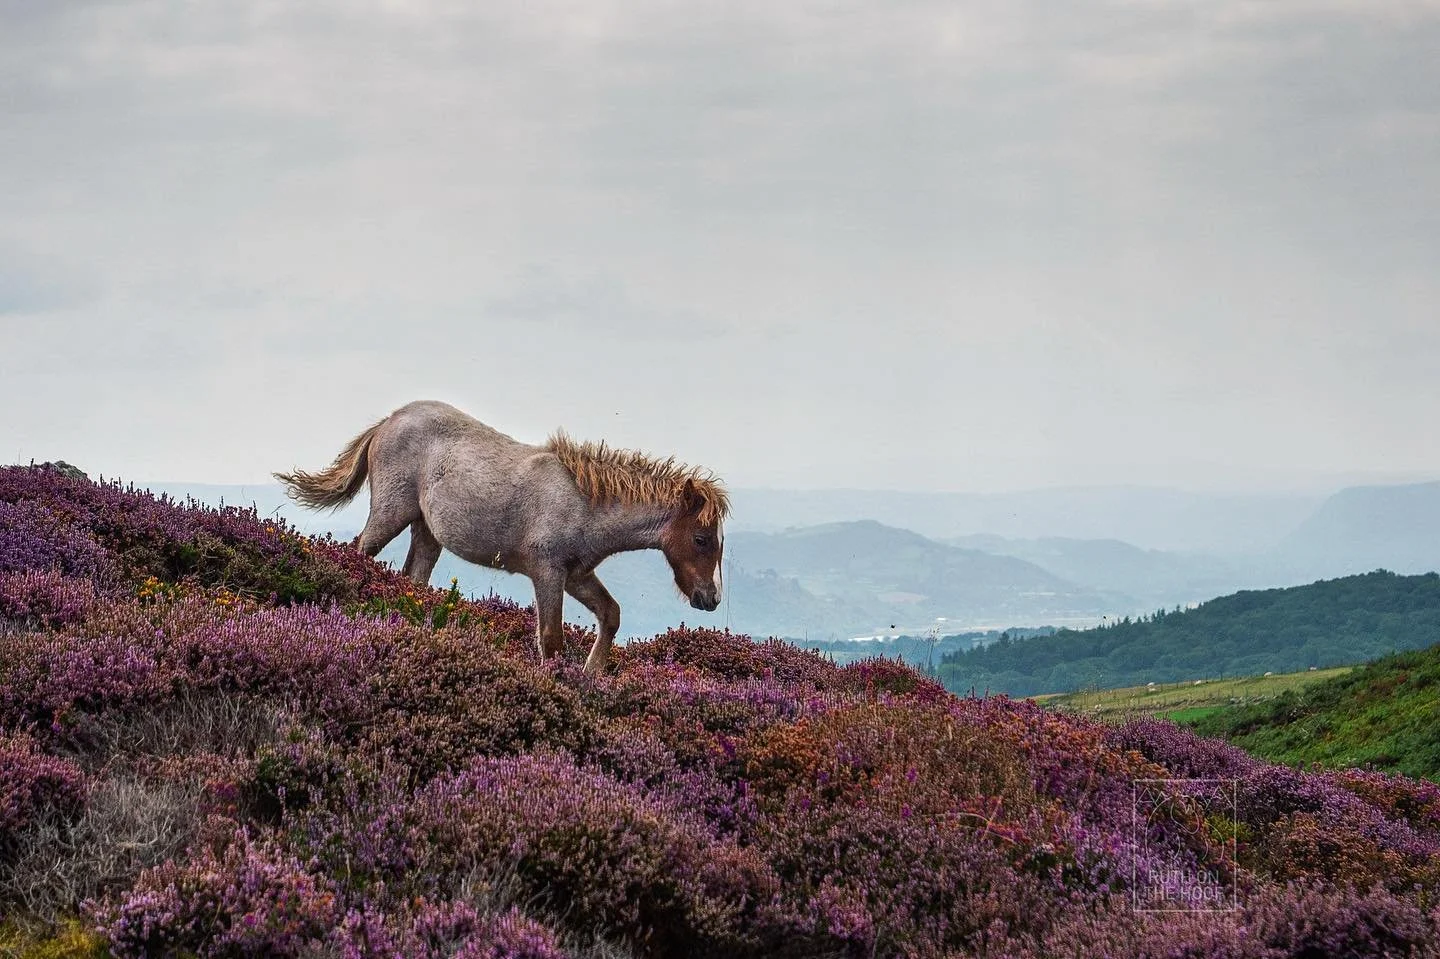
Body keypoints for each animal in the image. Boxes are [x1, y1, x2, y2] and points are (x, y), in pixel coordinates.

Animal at [274, 400, 727, 673]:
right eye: (702, 539)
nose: (710, 599)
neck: (584, 502)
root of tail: (389, 420)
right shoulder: (548, 573)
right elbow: (551, 638)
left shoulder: (577, 575)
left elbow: (611, 615)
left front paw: (590, 676)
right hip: (390, 513)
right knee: (360, 552)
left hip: (427, 533)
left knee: (412, 581)